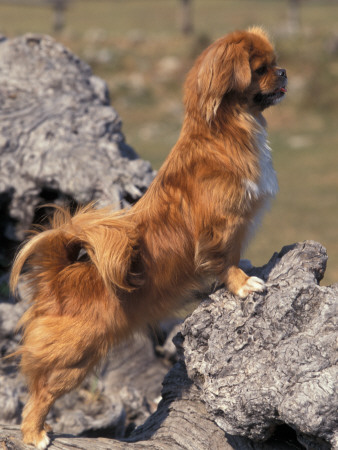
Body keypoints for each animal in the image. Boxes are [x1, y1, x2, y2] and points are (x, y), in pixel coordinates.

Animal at [9, 26, 286, 448]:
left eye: (274, 64)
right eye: (261, 69)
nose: (284, 72)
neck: (226, 132)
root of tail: (59, 276)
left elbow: (235, 256)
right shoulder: (221, 228)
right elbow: (224, 259)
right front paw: (242, 285)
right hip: (76, 356)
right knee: (39, 391)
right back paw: (35, 433)